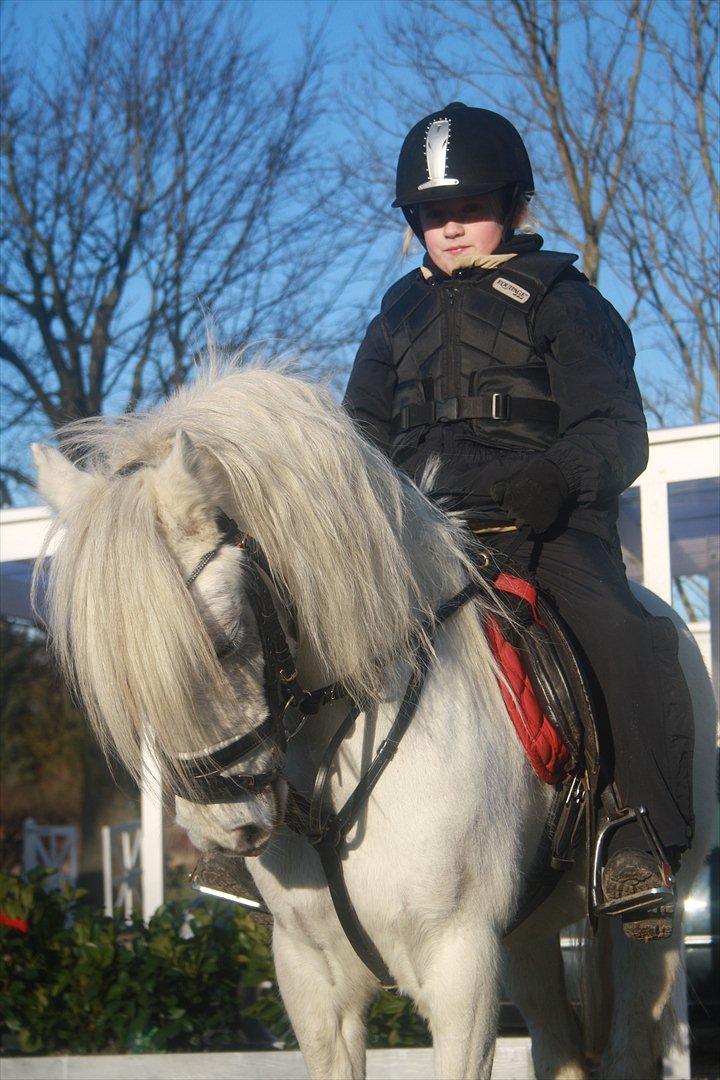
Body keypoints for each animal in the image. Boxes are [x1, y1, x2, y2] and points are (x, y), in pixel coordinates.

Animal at [32, 356, 716, 1080]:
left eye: (220, 642)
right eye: (117, 675)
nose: (222, 826)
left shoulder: (460, 967)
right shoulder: (310, 976)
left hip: (651, 925)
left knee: (629, 1041)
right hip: (529, 936)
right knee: (557, 1043)